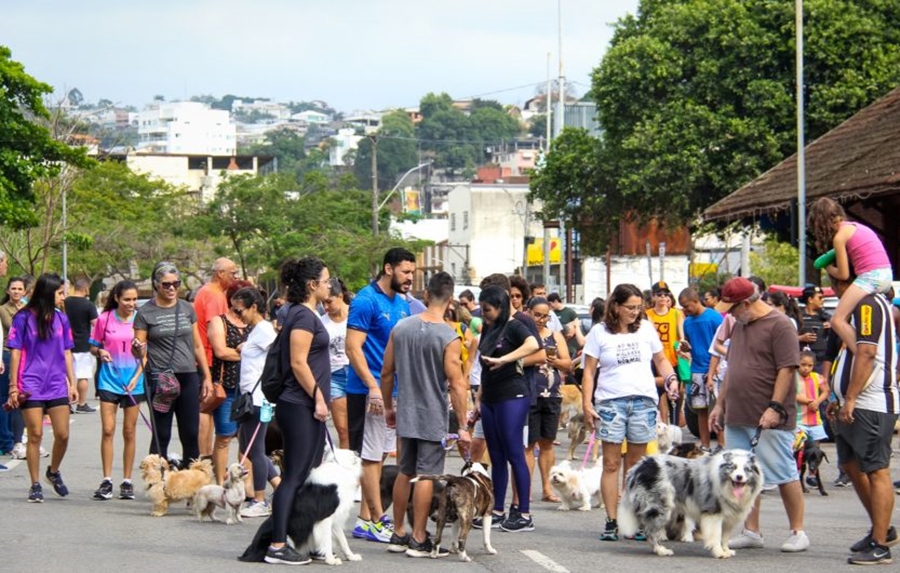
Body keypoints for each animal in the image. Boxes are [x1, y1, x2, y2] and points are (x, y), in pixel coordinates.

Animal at [620, 450, 760, 556]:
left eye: (746, 469)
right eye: (733, 467)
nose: (739, 477)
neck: (726, 484)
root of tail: (638, 467)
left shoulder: (729, 517)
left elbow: (724, 538)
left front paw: (726, 551)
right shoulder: (713, 513)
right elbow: (715, 536)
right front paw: (719, 553)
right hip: (660, 507)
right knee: (651, 532)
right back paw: (661, 550)